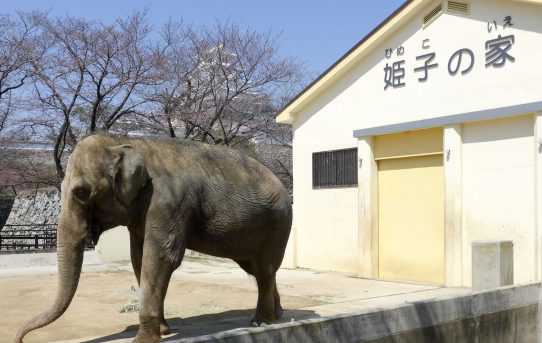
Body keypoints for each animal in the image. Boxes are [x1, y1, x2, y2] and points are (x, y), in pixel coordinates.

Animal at [14, 134, 294, 343]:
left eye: (81, 192)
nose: (19, 338)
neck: (123, 143)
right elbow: (139, 258)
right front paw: (164, 330)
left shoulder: (168, 201)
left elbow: (160, 256)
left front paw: (143, 339)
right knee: (257, 269)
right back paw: (278, 315)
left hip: (278, 224)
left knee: (264, 269)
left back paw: (261, 322)